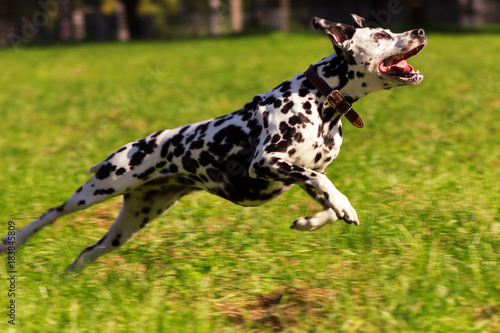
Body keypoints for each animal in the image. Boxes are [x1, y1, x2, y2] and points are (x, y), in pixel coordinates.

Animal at [1, 14, 428, 272]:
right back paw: (16, 240)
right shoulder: (268, 162)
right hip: (100, 187)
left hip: (132, 221)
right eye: (381, 35)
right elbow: (326, 184)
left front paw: (315, 219)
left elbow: (325, 197)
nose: (420, 31)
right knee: (51, 213)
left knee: (88, 252)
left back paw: (69, 278)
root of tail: (138, 143)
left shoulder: (300, 172)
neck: (322, 101)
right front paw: (342, 206)